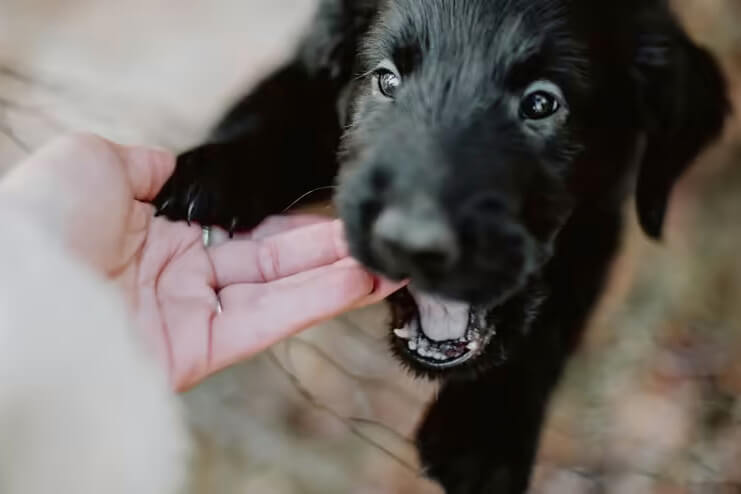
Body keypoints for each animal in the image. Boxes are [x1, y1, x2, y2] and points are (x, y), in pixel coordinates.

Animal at [155, 1, 728, 492]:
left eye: (542, 102)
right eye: (387, 79)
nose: (411, 244)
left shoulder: (601, 208)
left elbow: (555, 305)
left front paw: (482, 433)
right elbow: (285, 99)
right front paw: (215, 168)